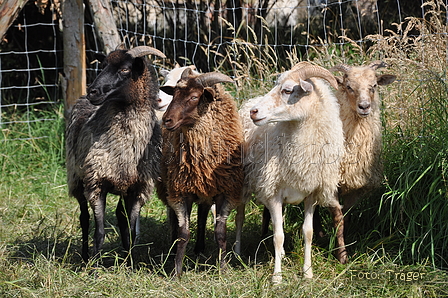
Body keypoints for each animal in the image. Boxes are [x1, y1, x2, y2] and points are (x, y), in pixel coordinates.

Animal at [242, 61, 346, 282]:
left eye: (288, 90)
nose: (254, 112)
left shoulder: (312, 194)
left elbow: (308, 232)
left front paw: (307, 272)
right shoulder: (274, 193)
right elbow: (278, 236)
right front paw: (277, 277)